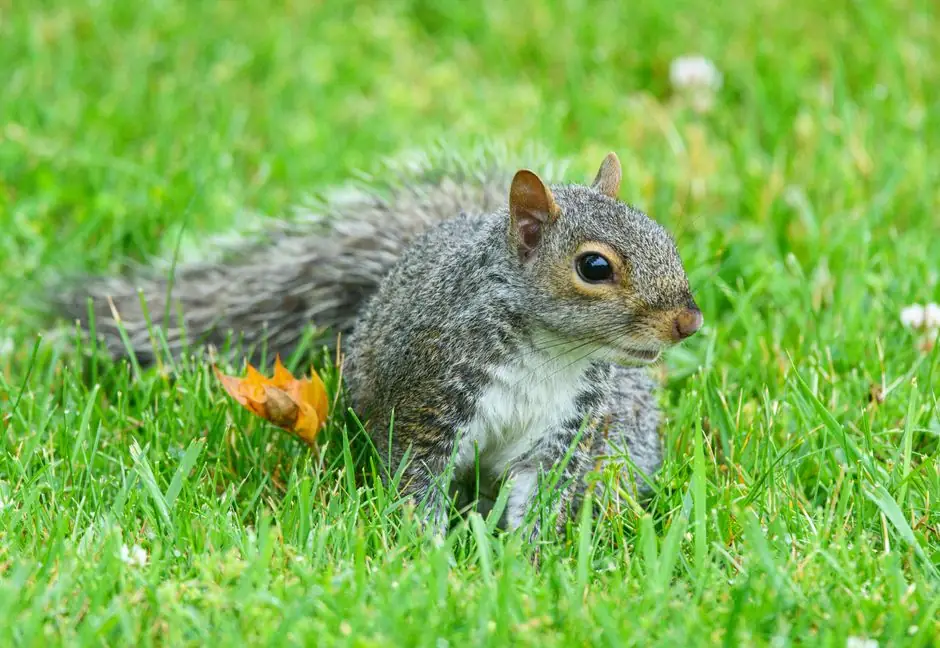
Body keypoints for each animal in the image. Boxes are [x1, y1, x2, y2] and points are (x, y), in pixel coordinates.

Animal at [54, 148, 703, 537]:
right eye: (594, 267)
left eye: (665, 238)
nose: (688, 322)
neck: (551, 354)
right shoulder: (430, 399)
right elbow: (417, 481)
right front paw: (431, 555)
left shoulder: (564, 431)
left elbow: (539, 494)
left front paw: (524, 561)